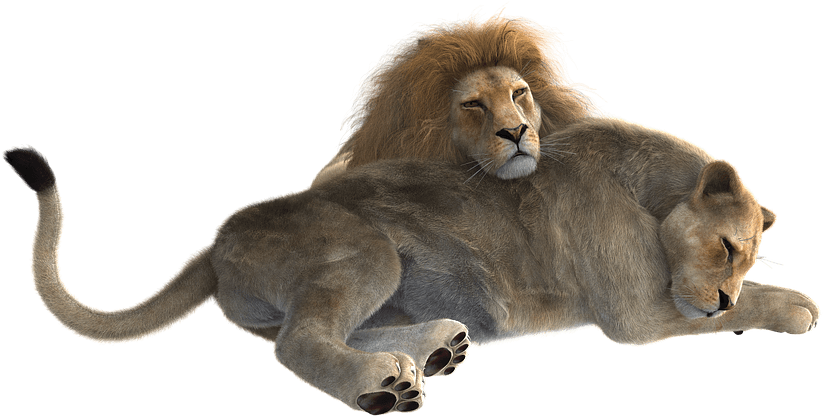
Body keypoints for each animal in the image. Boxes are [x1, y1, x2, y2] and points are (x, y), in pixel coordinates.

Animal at [4, 116, 817, 415]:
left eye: (747, 254)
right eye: (726, 250)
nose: (716, 299)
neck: (653, 190)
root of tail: (216, 238)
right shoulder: (641, 314)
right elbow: (752, 309)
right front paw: (798, 306)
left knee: (311, 330)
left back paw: (435, 350)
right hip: (366, 249)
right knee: (299, 341)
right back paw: (383, 386)